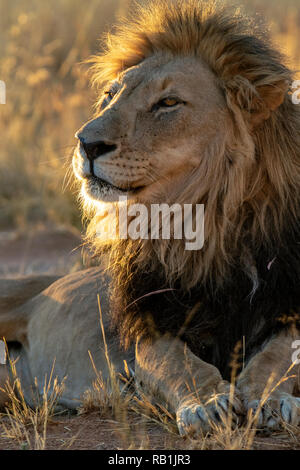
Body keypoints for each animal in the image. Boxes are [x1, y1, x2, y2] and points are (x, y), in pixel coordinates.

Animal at [0, 0, 300, 436]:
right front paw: (207, 405)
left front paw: (269, 398)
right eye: (110, 95)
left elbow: (280, 354)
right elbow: (177, 363)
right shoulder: (150, 325)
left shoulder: (284, 304)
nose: (85, 144)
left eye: (169, 103)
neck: (203, 220)